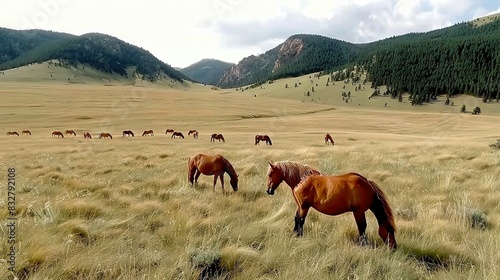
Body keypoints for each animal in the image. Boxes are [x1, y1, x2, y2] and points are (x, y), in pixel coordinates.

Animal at [266, 160, 398, 249]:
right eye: (390, 230)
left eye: (270, 173)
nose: (394, 247)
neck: (302, 180)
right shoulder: (302, 206)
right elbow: (299, 220)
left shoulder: (303, 206)